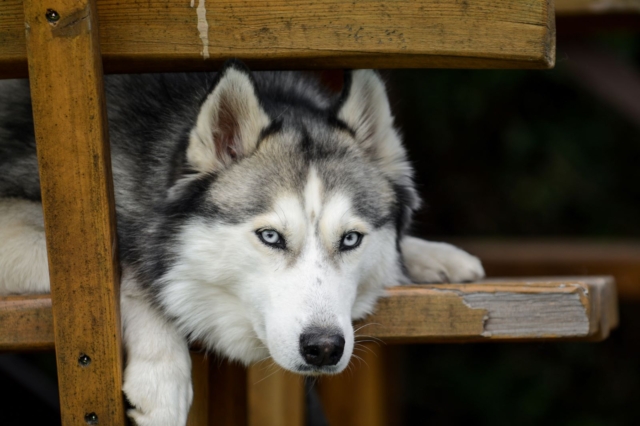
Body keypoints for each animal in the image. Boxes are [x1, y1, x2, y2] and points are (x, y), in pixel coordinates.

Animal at [0, 60, 480, 426]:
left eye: (350, 239)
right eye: (270, 237)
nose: (324, 348)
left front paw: (431, 255)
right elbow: (128, 271)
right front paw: (162, 375)